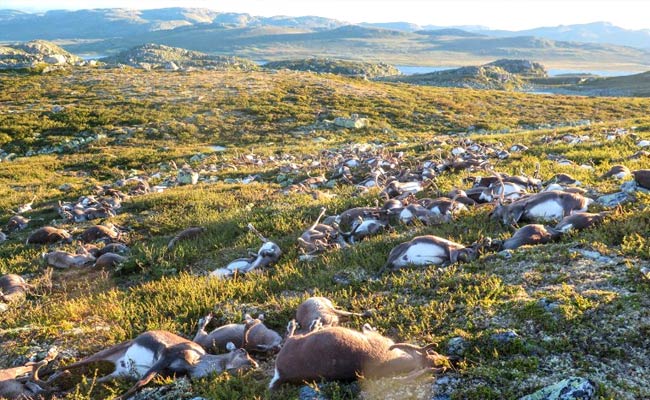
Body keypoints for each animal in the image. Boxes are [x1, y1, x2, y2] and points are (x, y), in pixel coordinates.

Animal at [49, 330, 258, 400]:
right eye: (244, 353)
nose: (255, 365)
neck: (197, 362)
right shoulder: (166, 356)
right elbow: (141, 383)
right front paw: (118, 398)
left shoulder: (165, 370)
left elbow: (142, 382)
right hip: (108, 352)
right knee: (72, 365)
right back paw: (49, 374)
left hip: (118, 373)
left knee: (91, 381)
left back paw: (60, 392)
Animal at [269, 322, 447, 389]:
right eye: (433, 352)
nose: (446, 363)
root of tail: (281, 374)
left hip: (293, 343)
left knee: (290, 336)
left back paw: (306, 324)